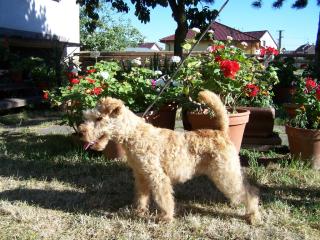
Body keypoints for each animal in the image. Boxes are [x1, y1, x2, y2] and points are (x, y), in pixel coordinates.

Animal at [79, 90, 262, 225]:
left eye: (99, 118)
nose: (81, 132)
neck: (134, 134)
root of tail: (221, 132)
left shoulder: (157, 176)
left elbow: (164, 198)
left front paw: (166, 217)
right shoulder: (141, 175)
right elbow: (141, 196)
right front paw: (139, 211)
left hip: (225, 173)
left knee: (250, 191)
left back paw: (252, 216)